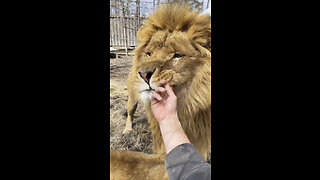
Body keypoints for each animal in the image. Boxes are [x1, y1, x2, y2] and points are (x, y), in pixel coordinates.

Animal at [121, 3, 211, 160]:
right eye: (149, 54)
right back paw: (127, 130)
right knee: (130, 113)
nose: (144, 74)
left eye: (178, 55)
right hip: (132, 99)